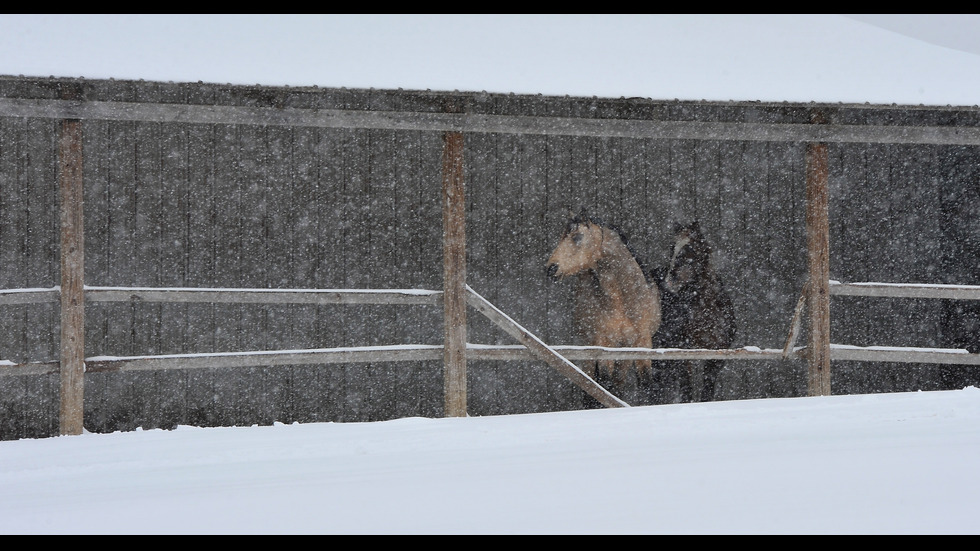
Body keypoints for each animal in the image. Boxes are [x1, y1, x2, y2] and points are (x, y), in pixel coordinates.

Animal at [548, 208, 664, 396]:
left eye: (577, 237)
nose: (551, 268)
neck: (623, 300)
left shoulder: (642, 342)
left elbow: (645, 383)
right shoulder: (604, 343)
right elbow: (603, 385)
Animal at [652, 222, 736, 404]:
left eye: (689, 248)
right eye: (672, 248)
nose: (669, 280)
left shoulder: (716, 357)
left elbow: (707, 392)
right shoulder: (683, 356)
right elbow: (687, 392)